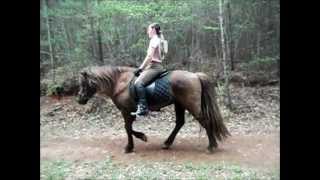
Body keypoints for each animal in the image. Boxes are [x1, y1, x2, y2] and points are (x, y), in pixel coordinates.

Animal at [76, 65, 229, 153]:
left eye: (83, 83)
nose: (79, 99)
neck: (120, 82)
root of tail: (195, 75)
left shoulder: (126, 111)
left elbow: (127, 128)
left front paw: (131, 146)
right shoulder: (130, 112)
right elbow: (129, 128)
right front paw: (140, 138)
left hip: (191, 105)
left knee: (205, 121)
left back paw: (211, 146)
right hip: (179, 104)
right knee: (180, 122)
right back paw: (167, 143)